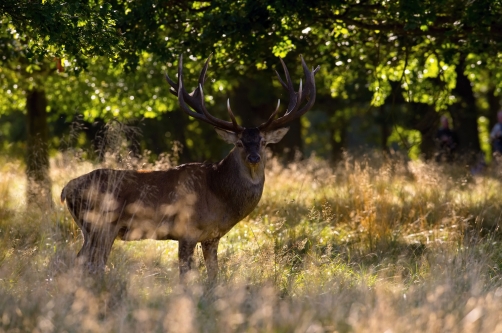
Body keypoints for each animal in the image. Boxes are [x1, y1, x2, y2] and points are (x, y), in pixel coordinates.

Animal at [60, 53, 320, 280]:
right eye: (238, 143)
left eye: (264, 142)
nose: (254, 157)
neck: (219, 196)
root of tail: (65, 190)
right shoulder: (186, 231)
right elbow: (185, 276)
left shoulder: (212, 237)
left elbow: (214, 275)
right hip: (100, 225)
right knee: (88, 262)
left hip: (93, 229)